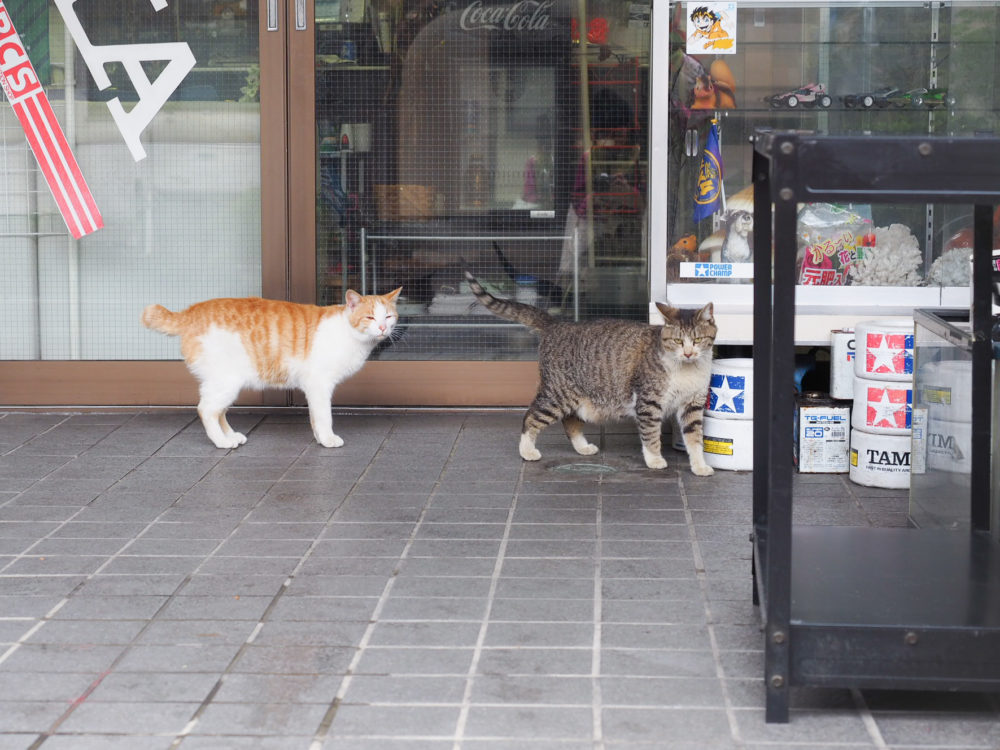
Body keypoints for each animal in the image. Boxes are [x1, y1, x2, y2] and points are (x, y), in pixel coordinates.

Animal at [140, 290, 402, 450]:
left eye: (388, 317)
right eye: (370, 317)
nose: (382, 328)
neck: (350, 334)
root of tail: (191, 311)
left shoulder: (315, 388)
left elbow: (315, 418)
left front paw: (319, 438)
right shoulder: (319, 384)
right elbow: (323, 416)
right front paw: (328, 439)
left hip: (222, 383)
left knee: (218, 411)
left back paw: (230, 436)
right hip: (226, 382)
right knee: (206, 410)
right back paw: (221, 442)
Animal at [464, 274, 716, 476]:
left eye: (697, 340)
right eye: (677, 341)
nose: (688, 352)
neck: (687, 369)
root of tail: (557, 325)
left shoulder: (693, 405)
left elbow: (695, 438)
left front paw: (699, 466)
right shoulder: (648, 403)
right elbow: (651, 434)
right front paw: (655, 460)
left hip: (580, 399)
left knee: (570, 422)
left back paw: (582, 447)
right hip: (558, 395)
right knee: (531, 417)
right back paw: (527, 451)